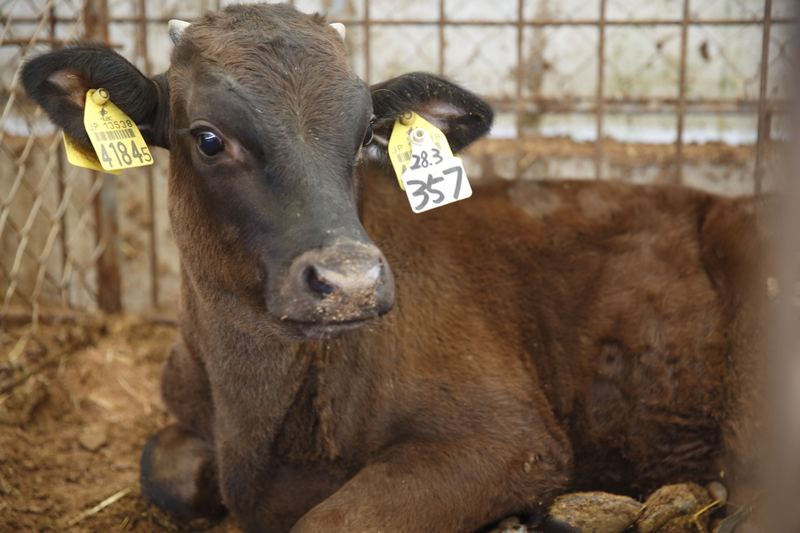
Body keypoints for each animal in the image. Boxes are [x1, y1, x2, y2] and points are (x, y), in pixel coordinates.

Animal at [21, 3, 764, 532]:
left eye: (362, 138)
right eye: (207, 139)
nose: (349, 281)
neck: (255, 416)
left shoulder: (508, 434)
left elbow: (331, 522)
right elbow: (163, 469)